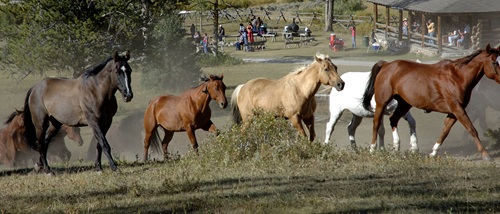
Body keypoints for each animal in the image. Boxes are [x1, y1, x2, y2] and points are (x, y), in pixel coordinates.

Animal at [362, 44, 500, 160]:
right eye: (494, 62)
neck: (458, 77)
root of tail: (386, 64)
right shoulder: (458, 109)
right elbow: (472, 129)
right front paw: (486, 155)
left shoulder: (454, 112)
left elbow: (445, 131)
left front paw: (433, 152)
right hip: (382, 102)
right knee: (376, 123)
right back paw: (372, 149)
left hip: (405, 104)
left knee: (393, 119)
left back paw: (396, 147)